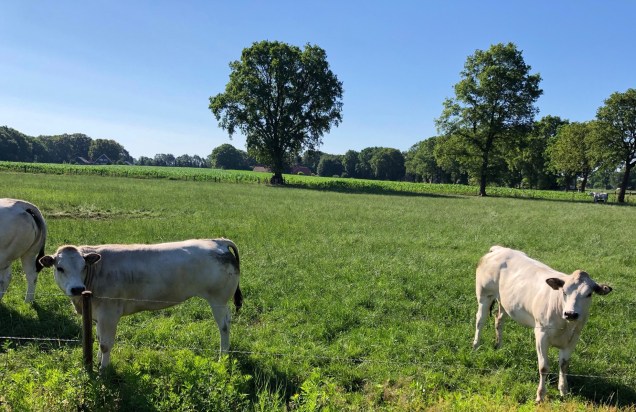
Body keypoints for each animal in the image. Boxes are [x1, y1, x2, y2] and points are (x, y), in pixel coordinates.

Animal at [39, 238, 242, 370]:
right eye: (60, 268)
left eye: (83, 267)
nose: (77, 288)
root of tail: (217, 241)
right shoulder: (97, 315)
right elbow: (98, 338)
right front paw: (97, 361)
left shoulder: (109, 314)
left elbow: (105, 344)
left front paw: (104, 370)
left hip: (218, 299)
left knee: (224, 326)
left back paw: (223, 356)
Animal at [472, 246, 612, 402]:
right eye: (564, 292)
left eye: (589, 294)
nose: (571, 313)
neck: (565, 325)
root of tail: (499, 249)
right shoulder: (541, 334)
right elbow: (544, 367)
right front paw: (540, 396)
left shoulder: (574, 337)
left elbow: (564, 365)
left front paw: (564, 390)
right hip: (484, 295)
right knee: (480, 320)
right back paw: (476, 346)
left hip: (505, 302)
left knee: (499, 320)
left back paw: (499, 346)